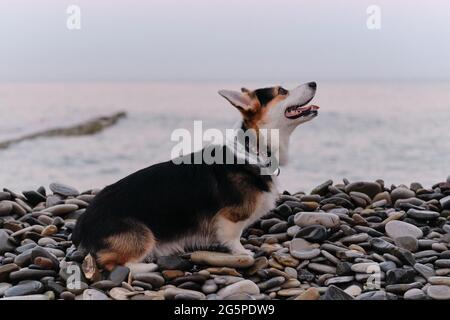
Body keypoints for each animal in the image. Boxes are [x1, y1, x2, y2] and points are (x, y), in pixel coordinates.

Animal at [72, 80, 318, 270]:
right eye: (282, 90)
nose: (314, 83)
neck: (252, 150)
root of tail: (83, 222)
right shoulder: (230, 218)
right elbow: (233, 238)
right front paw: (243, 252)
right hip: (143, 235)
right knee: (112, 262)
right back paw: (147, 266)